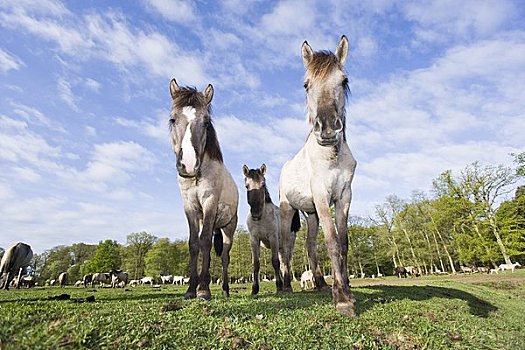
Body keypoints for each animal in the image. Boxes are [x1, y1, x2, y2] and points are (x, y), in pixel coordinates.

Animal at [169, 79, 238, 300]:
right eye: (173, 119)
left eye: (206, 122)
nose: (189, 165)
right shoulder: (189, 207)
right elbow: (194, 243)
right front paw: (191, 289)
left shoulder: (209, 202)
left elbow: (205, 240)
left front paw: (203, 289)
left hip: (229, 227)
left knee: (225, 256)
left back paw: (225, 289)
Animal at [243, 164, 298, 296]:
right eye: (247, 186)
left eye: (263, 184)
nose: (255, 214)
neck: (262, 218)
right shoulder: (254, 240)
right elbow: (256, 264)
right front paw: (254, 289)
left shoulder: (273, 238)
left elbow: (275, 262)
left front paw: (278, 286)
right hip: (280, 248)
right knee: (283, 264)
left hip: (288, 245)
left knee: (286, 263)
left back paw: (286, 286)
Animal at [278, 35, 356, 318]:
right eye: (306, 84)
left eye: (344, 81)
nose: (328, 129)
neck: (331, 157)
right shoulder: (322, 196)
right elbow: (331, 241)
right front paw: (343, 300)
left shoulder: (344, 197)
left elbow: (342, 243)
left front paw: (345, 290)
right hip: (288, 209)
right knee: (285, 247)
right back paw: (285, 286)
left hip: (310, 214)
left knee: (309, 245)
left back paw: (320, 283)